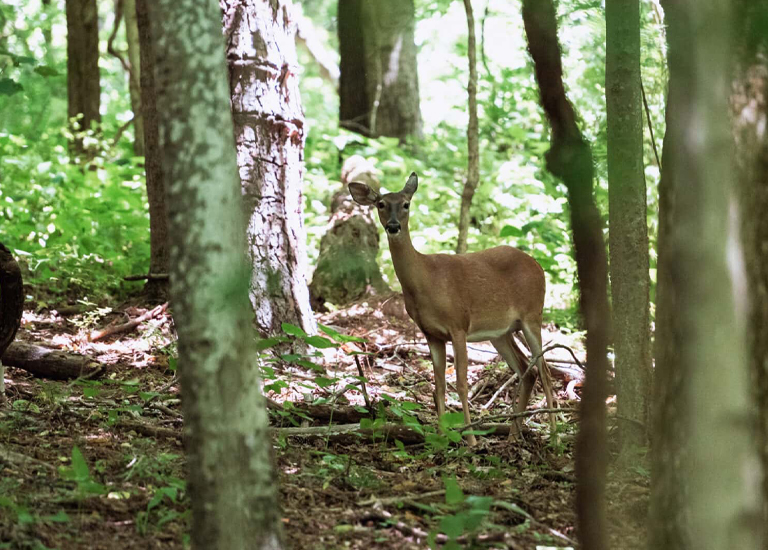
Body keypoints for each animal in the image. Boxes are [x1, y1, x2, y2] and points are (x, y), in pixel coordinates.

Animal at [349, 172, 557, 446]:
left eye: (406, 204)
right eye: (381, 204)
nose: (393, 226)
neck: (425, 281)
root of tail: (538, 266)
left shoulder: (458, 325)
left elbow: (461, 383)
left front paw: (471, 441)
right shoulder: (432, 334)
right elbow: (438, 385)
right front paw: (439, 438)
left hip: (533, 315)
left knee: (544, 372)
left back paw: (555, 436)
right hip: (501, 332)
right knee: (527, 370)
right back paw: (513, 436)